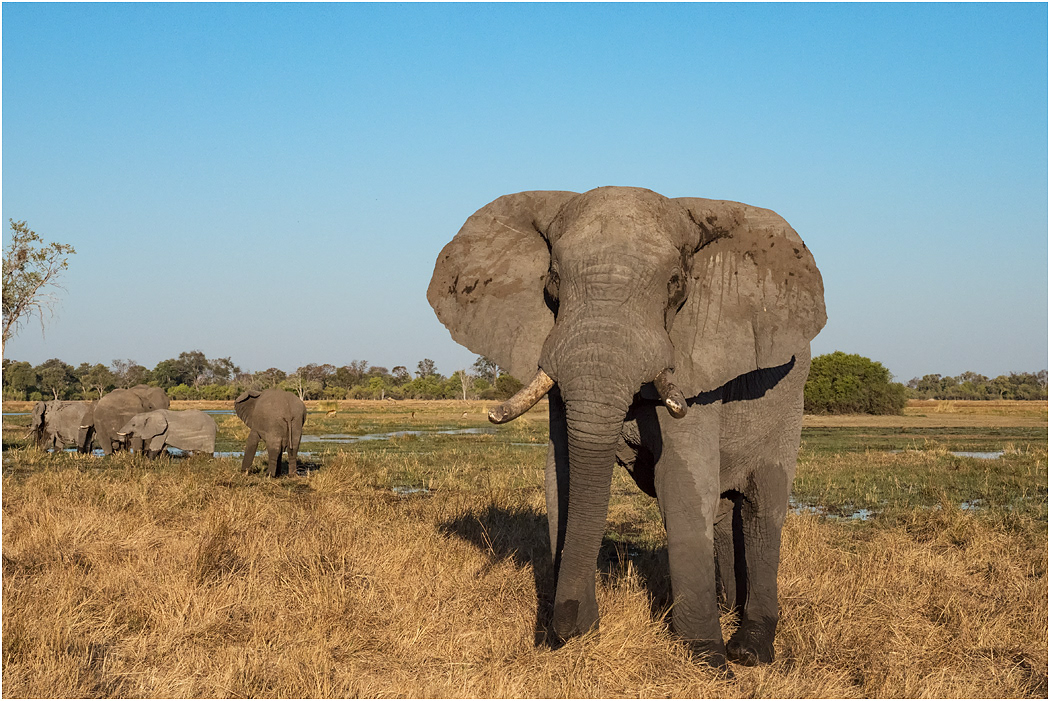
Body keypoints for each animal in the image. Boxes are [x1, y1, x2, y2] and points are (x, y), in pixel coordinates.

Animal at [428, 187, 826, 669]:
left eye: (676, 283)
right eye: (552, 279)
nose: (564, 628)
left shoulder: (697, 367)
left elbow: (682, 484)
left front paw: (708, 664)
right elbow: (561, 476)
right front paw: (569, 640)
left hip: (787, 406)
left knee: (761, 510)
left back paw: (750, 650)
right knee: (724, 509)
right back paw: (728, 609)